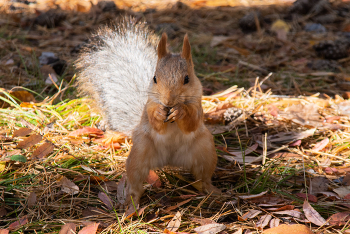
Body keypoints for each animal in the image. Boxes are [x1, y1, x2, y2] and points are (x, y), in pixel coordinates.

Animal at [76, 19, 219, 207]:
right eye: (155, 78)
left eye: (187, 79)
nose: (168, 101)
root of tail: (170, 160)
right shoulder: (148, 107)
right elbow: (155, 121)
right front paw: (159, 112)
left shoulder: (197, 107)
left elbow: (192, 121)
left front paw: (180, 111)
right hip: (140, 153)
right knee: (136, 182)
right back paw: (131, 202)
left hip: (205, 150)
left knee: (203, 178)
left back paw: (212, 191)